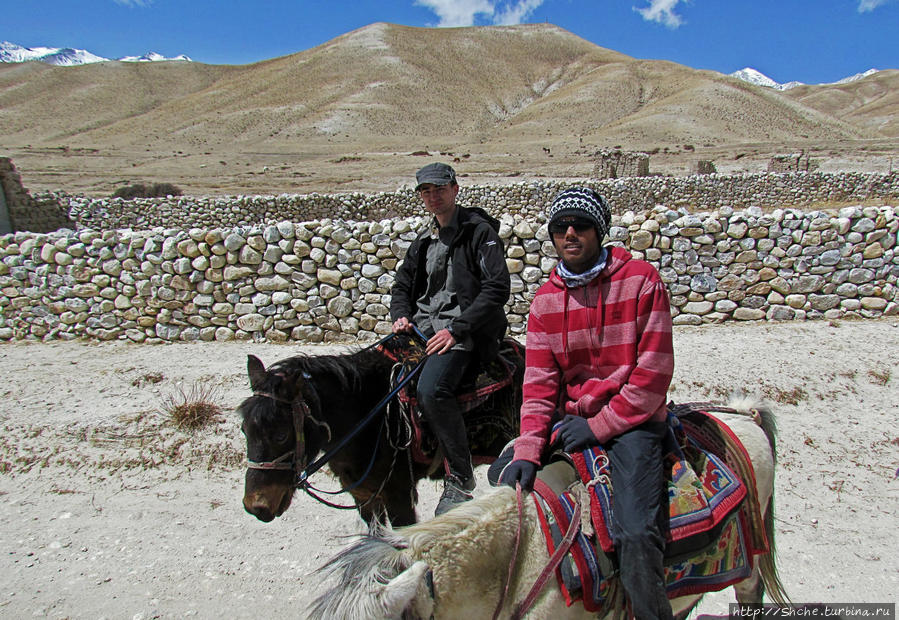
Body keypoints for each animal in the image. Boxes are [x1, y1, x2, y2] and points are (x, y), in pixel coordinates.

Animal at [239, 336, 524, 524]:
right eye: (244, 430)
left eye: (281, 434)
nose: (255, 506)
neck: (367, 414)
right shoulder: (364, 498)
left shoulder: (400, 497)